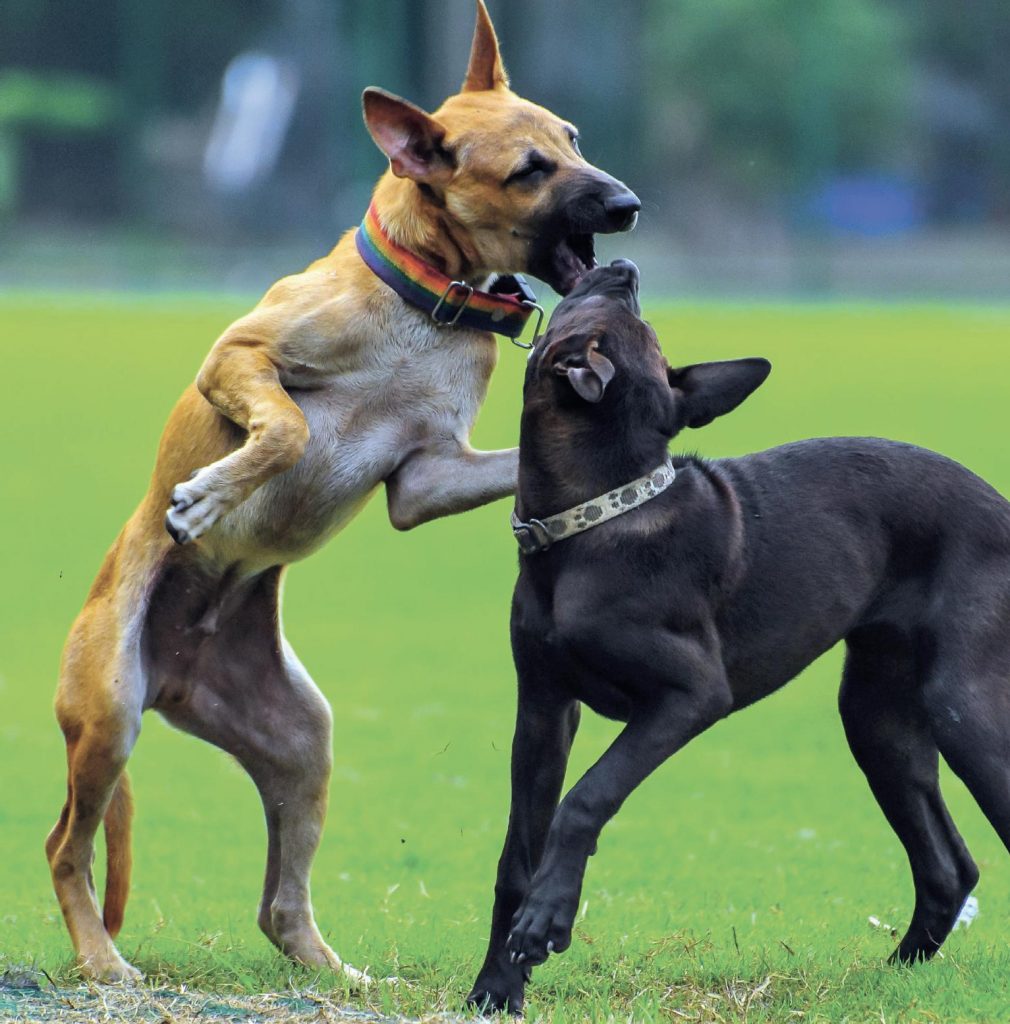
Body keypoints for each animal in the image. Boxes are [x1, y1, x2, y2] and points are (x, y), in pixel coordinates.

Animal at [47, 2, 635, 991]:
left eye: (574, 139)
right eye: (530, 170)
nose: (629, 205)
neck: (428, 302)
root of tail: (174, 672)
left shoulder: (429, 474)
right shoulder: (237, 358)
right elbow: (286, 427)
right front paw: (206, 498)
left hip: (301, 742)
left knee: (279, 904)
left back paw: (336, 974)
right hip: (109, 714)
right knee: (65, 849)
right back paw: (103, 962)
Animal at [467, 260, 1007, 1011]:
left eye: (608, 306)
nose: (624, 266)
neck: (593, 520)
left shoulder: (690, 696)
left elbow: (588, 797)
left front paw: (547, 920)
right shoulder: (545, 710)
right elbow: (518, 850)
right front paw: (497, 987)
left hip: (967, 709)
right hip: (879, 720)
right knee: (949, 867)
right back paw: (891, 975)